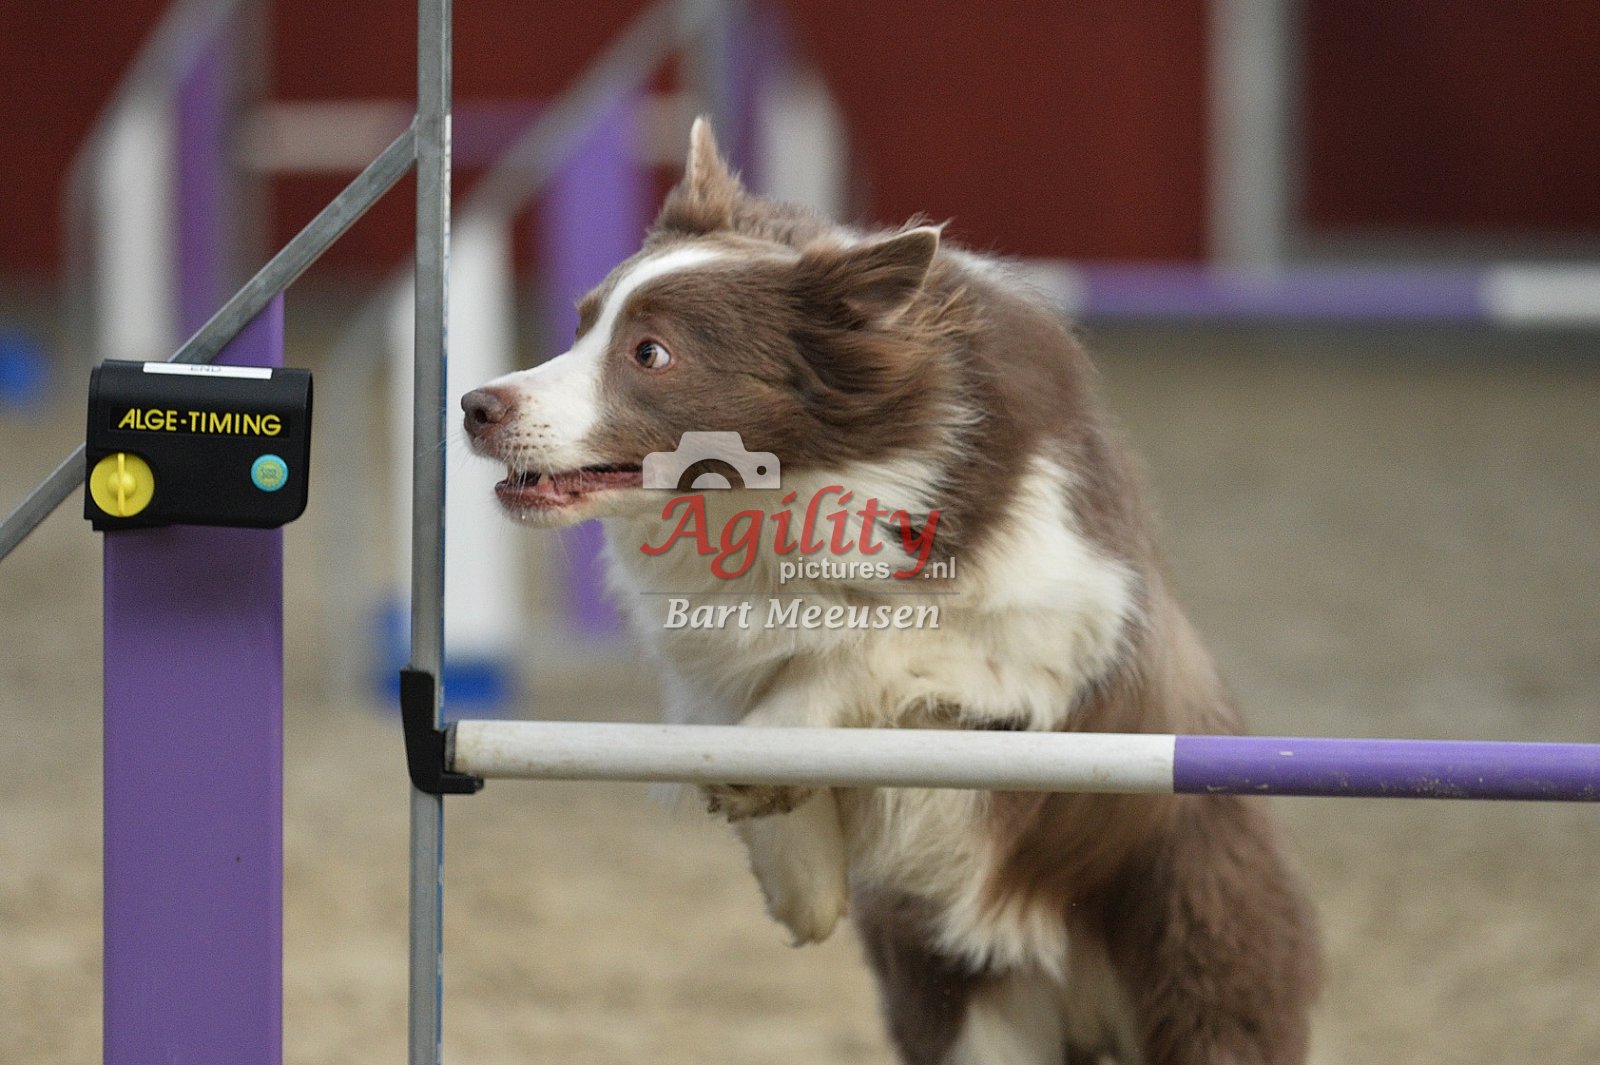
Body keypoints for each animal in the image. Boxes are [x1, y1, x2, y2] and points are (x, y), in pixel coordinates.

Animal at [462, 118, 1321, 1065]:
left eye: (650, 352)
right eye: (581, 321)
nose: (474, 405)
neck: (781, 498)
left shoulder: (1063, 614)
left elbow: (868, 644)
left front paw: (772, 753)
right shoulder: (704, 647)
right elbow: (732, 708)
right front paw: (798, 876)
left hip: (1195, 946)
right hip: (962, 1004)